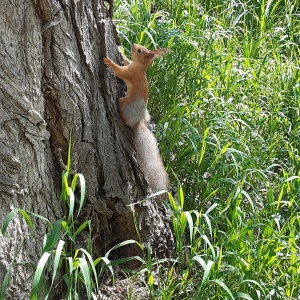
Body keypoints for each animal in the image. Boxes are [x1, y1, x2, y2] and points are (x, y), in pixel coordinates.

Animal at [103, 43, 169, 196]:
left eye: (139, 50)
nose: (133, 45)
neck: (140, 67)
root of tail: (138, 121)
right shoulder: (131, 65)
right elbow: (127, 61)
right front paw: (121, 52)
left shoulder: (130, 73)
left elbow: (120, 72)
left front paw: (109, 62)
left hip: (124, 103)